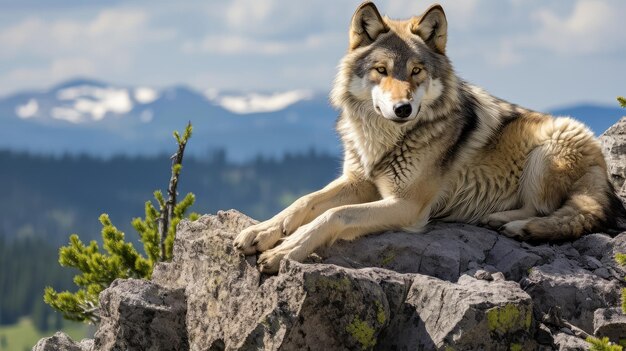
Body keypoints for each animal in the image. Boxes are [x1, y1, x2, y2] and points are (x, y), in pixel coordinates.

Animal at [232, 1, 620, 274]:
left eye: (416, 71)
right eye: (382, 70)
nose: (403, 108)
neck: (384, 139)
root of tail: (602, 170)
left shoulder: (406, 205)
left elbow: (335, 215)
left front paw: (285, 250)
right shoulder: (360, 181)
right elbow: (306, 202)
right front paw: (262, 231)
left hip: (548, 146)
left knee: (546, 210)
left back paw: (510, 223)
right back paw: (498, 219)